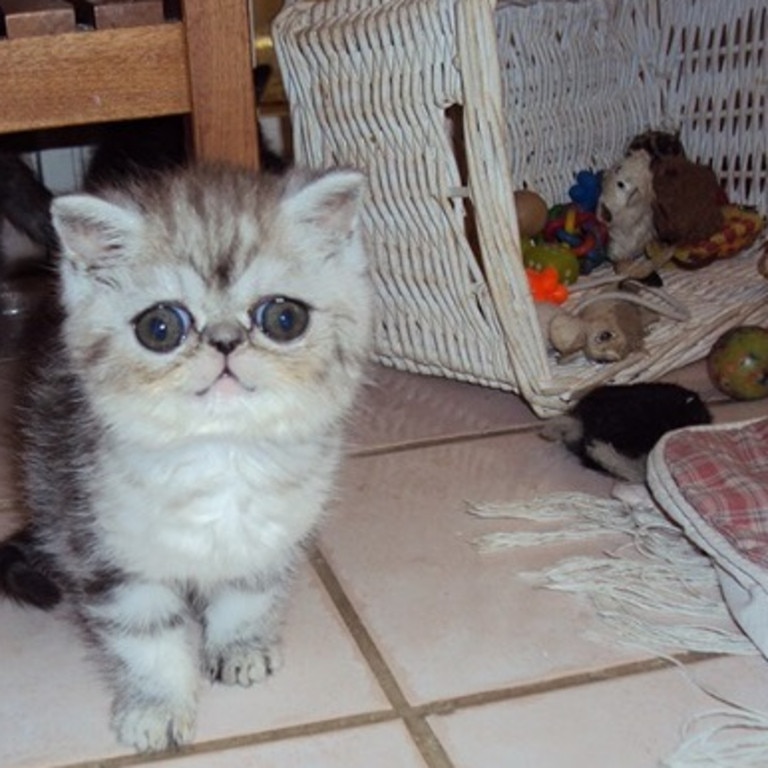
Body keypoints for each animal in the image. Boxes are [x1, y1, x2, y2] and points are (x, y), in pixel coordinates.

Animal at [0, 160, 374, 752]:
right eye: (161, 328)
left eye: (284, 318)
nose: (224, 342)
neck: (221, 454)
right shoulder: (107, 545)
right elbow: (145, 634)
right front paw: (156, 706)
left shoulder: (275, 530)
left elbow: (249, 590)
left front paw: (240, 646)